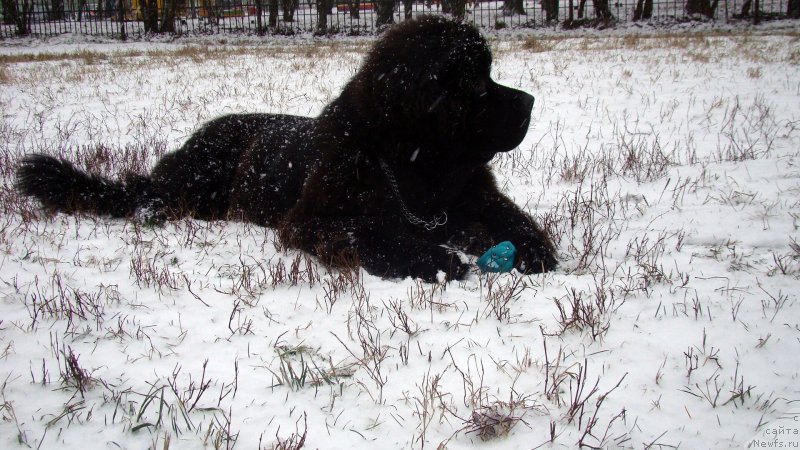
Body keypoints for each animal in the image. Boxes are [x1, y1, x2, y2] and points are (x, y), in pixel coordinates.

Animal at [17, 17, 556, 282]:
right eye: (478, 85)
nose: (531, 101)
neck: (412, 169)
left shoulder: (471, 198)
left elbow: (512, 218)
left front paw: (533, 248)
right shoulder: (311, 220)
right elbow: (372, 234)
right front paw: (433, 259)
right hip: (196, 184)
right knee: (147, 196)